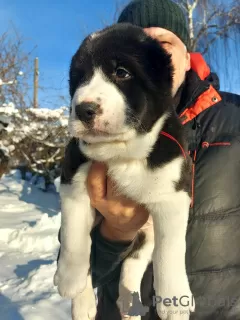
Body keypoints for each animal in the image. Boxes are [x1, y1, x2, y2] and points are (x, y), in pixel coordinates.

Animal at [54, 23, 195, 320]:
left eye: (121, 72)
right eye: (79, 79)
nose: (83, 109)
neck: (121, 152)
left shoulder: (173, 194)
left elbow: (170, 249)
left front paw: (174, 300)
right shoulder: (73, 178)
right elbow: (74, 237)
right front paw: (70, 280)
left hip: (147, 233)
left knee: (134, 262)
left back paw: (129, 305)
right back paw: (82, 304)